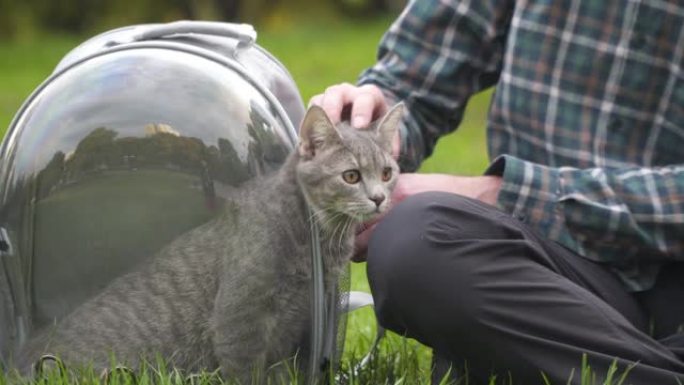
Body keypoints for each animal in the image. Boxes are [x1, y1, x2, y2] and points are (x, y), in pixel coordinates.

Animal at [16, 103, 404, 380]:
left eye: (387, 172)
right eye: (351, 176)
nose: (379, 198)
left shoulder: (294, 325)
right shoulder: (240, 318)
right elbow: (245, 373)